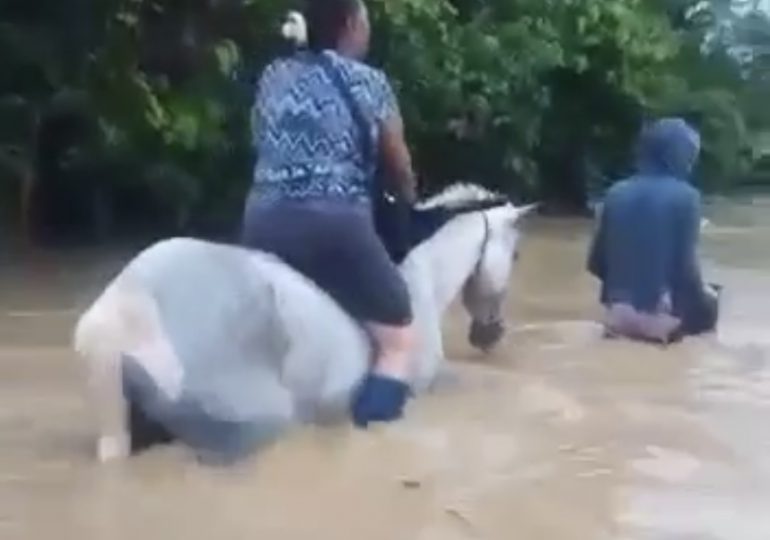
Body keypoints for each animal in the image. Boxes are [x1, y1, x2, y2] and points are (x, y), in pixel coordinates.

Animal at [76, 184, 536, 462]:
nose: (490, 333)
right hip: (251, 424)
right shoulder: (423, 381)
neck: (421, 273)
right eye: (515, 255)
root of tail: (119, 321)